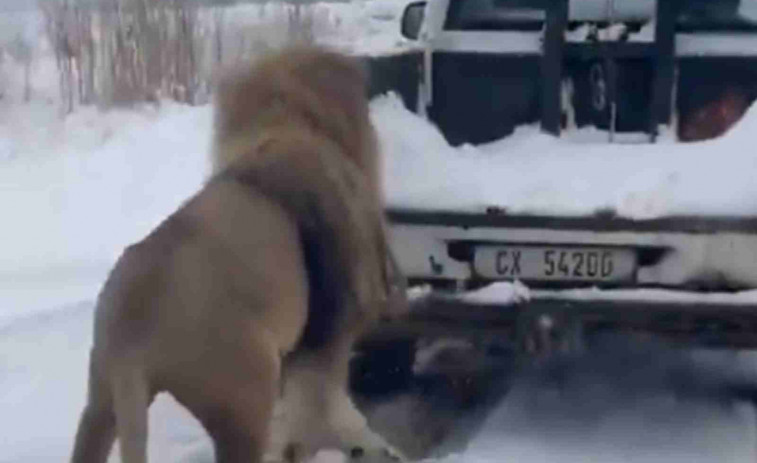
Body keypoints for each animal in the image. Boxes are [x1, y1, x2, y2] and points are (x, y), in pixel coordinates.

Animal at [72, 46, 408, 463]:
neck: (287, 124)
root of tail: (130, 334)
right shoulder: (325, 335)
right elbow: (324, 406)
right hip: (245, 396)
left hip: (101, 398)